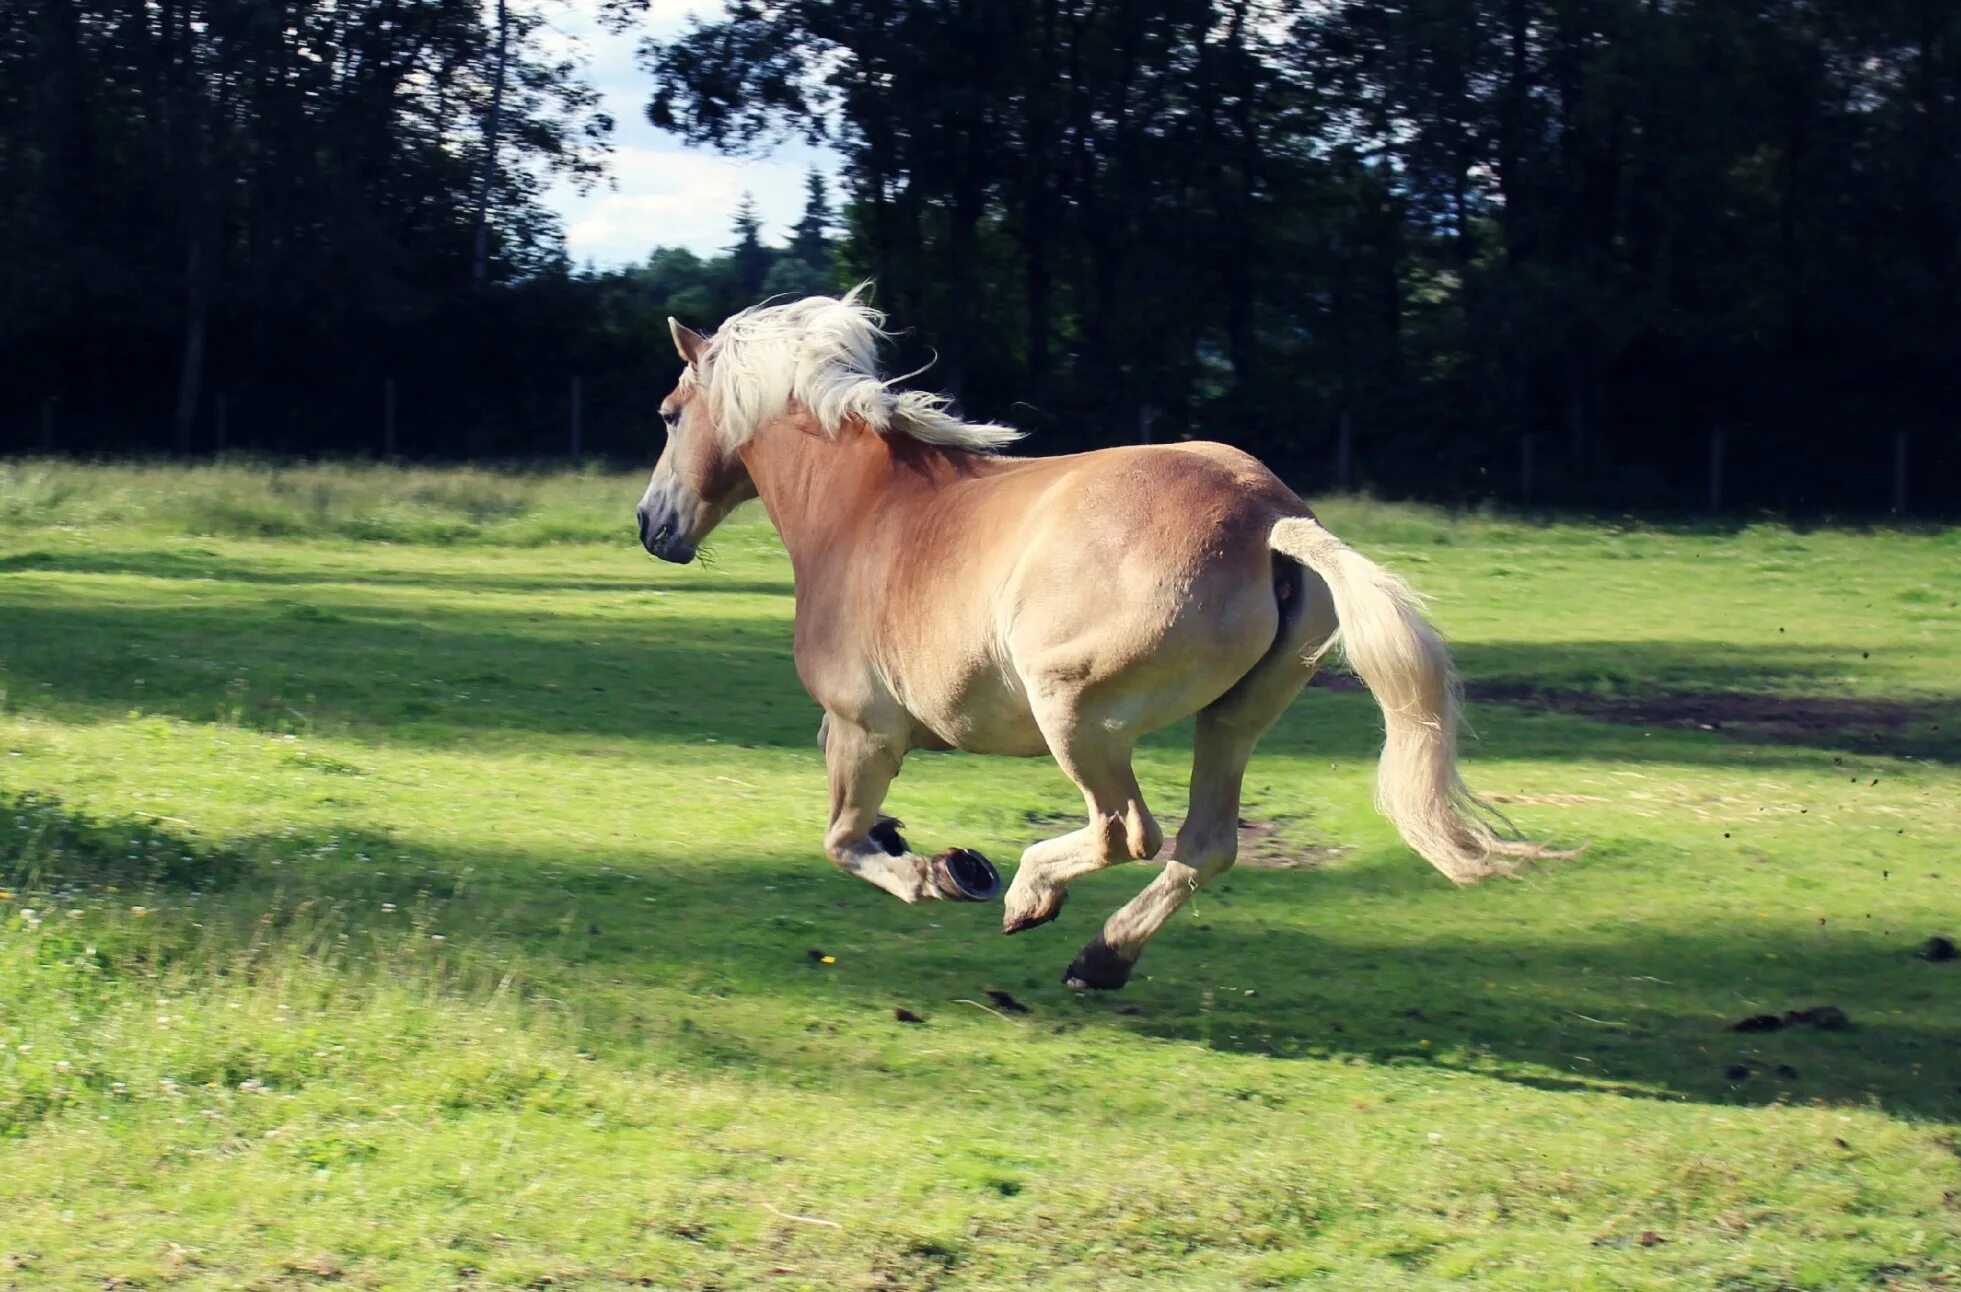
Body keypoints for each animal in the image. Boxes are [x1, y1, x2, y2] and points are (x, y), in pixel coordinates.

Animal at [635, 286, 1537, 992]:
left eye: (670, 415)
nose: (651, 525)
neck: (862, 510)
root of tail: (1267, 518)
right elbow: (853, 833)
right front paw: (925, 851)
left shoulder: (863, 730)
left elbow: (843, 843)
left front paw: (946, 871)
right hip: (1232, 722)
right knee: (1203, 845)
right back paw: (1101, 958)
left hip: (1075, 714)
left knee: (1125, 831)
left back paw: (1028, 895)